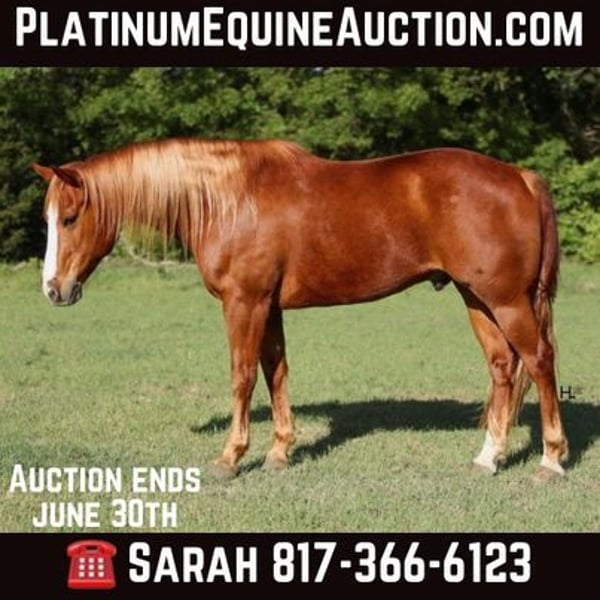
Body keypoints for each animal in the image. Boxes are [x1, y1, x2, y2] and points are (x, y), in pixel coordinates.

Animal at [33, 137, 568, 481]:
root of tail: (520, 177)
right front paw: (279, 452)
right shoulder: (268, 306)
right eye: (48, 218)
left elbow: (243, 376)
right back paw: (488, 458)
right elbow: (277, 372)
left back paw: (550, 460)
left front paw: (231, 457)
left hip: (506, 300)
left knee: (540, 361)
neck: (229, 199)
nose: (54, 290)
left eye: (70, 217)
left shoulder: (245, 302)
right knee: (502, 367)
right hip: (477, 298)